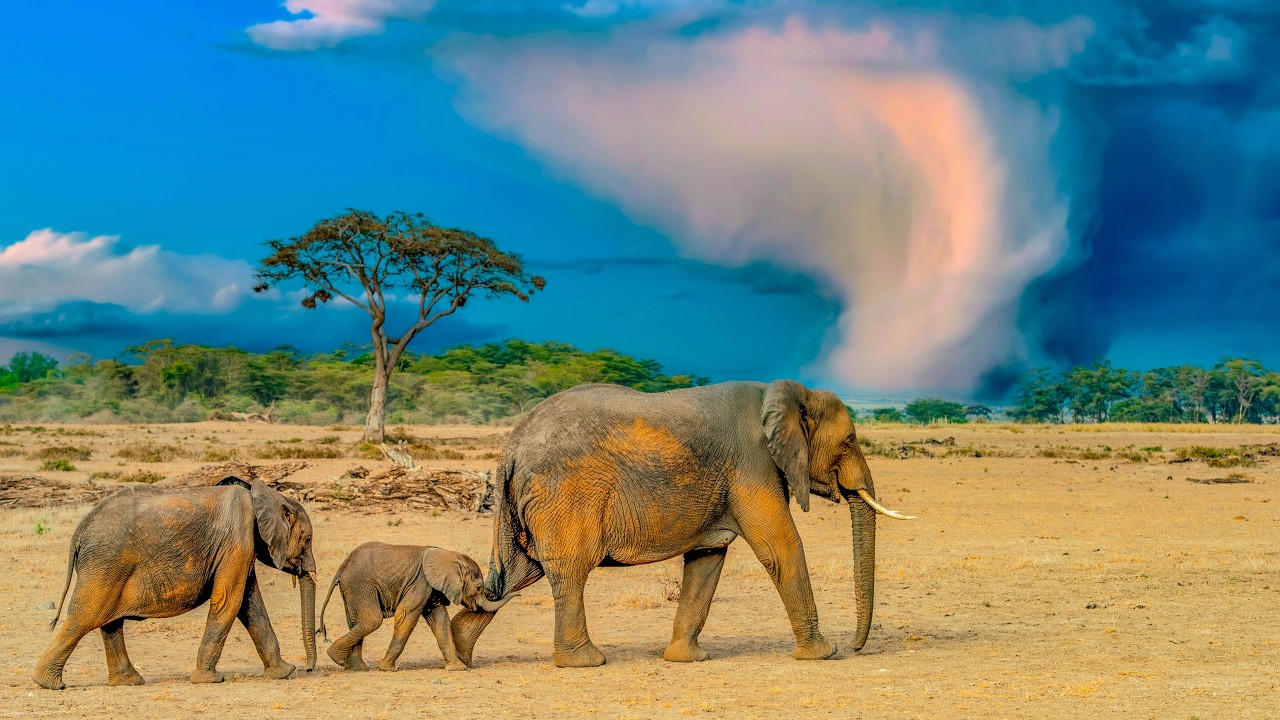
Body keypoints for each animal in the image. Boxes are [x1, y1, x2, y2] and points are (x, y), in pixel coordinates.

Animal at [32, 477, 318, 690]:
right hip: (105, 563)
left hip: (108, 566)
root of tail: (79, 532)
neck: (261, 494)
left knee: (109, 622)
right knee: (85, 617)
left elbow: (250, 605)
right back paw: (49, 683)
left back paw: (128, 682)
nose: (307, 668)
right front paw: (210, 680)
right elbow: (229, 600)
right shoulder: (238, 538)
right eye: (307, 540)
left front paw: (284, 673)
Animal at [318, 542, 510, 672]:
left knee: (356, 623)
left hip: (352, 588)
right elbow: (405, 615)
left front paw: (457, 669)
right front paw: (386, 669)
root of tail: (342, 567)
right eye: (479, 588)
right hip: (360, 585)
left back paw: (357, 668)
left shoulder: (432, 588)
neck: (449, 556)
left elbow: (440, 621)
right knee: (371, 621)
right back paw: (336, 658)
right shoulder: (421, 582)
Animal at [450, 380, 912, 668]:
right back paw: (585, 662)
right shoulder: (753, 464)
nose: (855, 646)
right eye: (849, 442)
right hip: (564, 495)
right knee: (568, 571)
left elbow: (707, 559)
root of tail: (511, 445)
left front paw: (686, 660)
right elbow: (780, 548)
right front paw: (824, 654)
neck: (785, 393)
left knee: (516, 576)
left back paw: (460, 655)